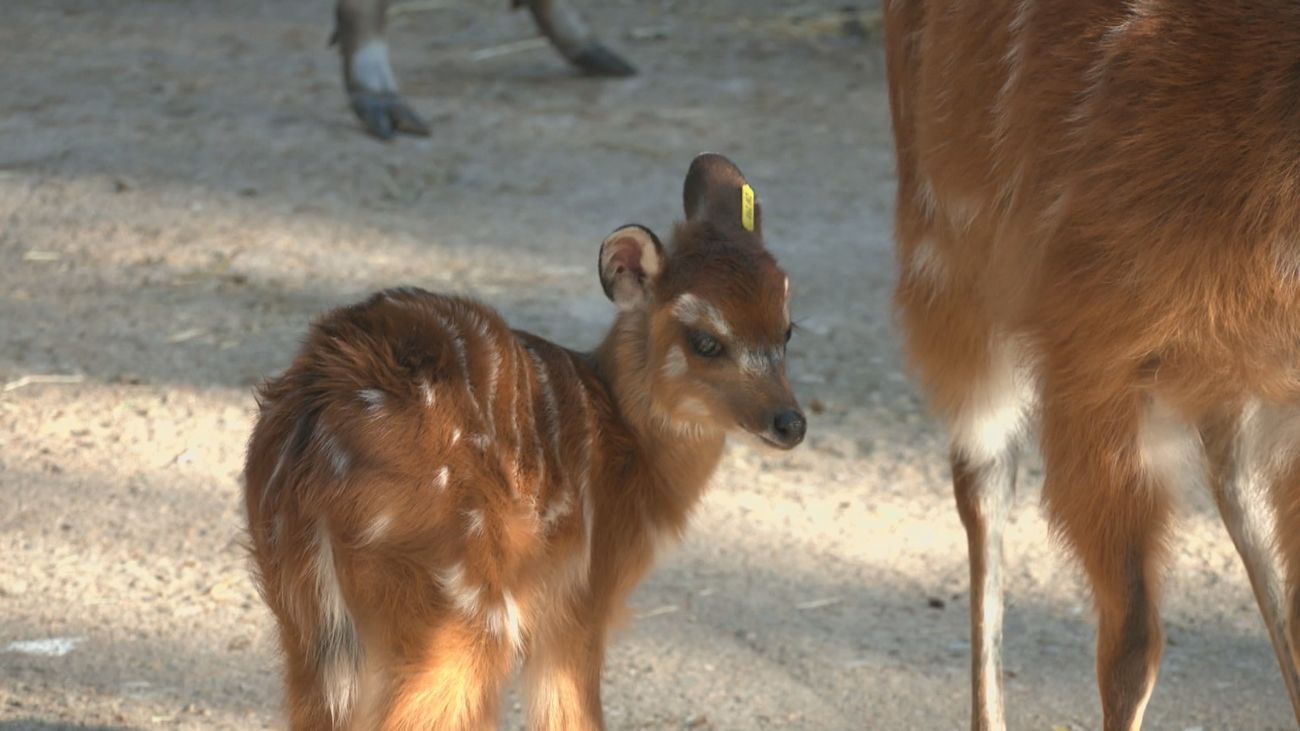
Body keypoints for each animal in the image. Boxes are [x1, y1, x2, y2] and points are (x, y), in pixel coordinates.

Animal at [243, 153, 805, 729]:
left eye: (787, 329)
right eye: (706, 341)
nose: (789, 422)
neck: (628, 442)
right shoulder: (579, 600)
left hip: (302, 616)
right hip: (460, 609)